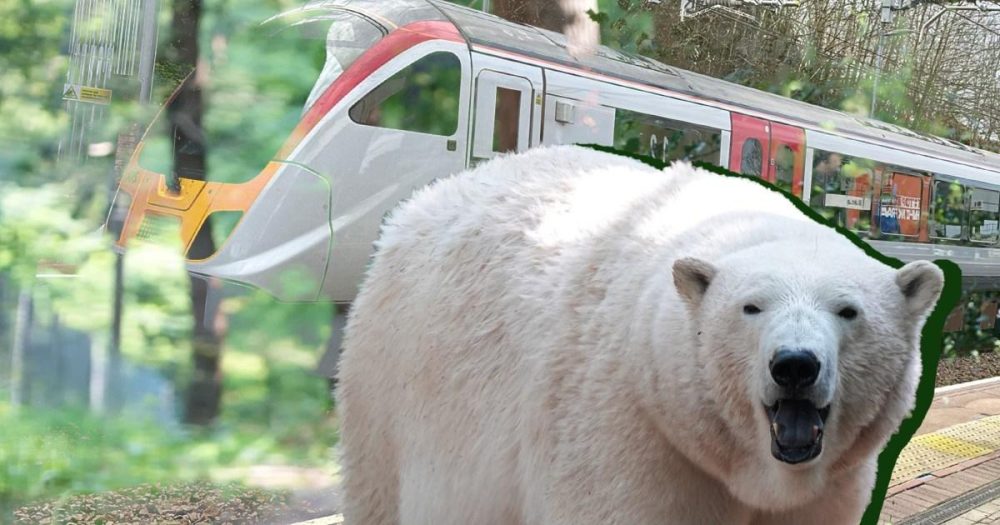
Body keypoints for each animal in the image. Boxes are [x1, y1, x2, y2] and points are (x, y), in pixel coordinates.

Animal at [336, 145, 944, 525]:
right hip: (391, 387)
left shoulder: (831, 485)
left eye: (848, 311)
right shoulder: (631, 426)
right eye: (751, 307)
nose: (795, 364)